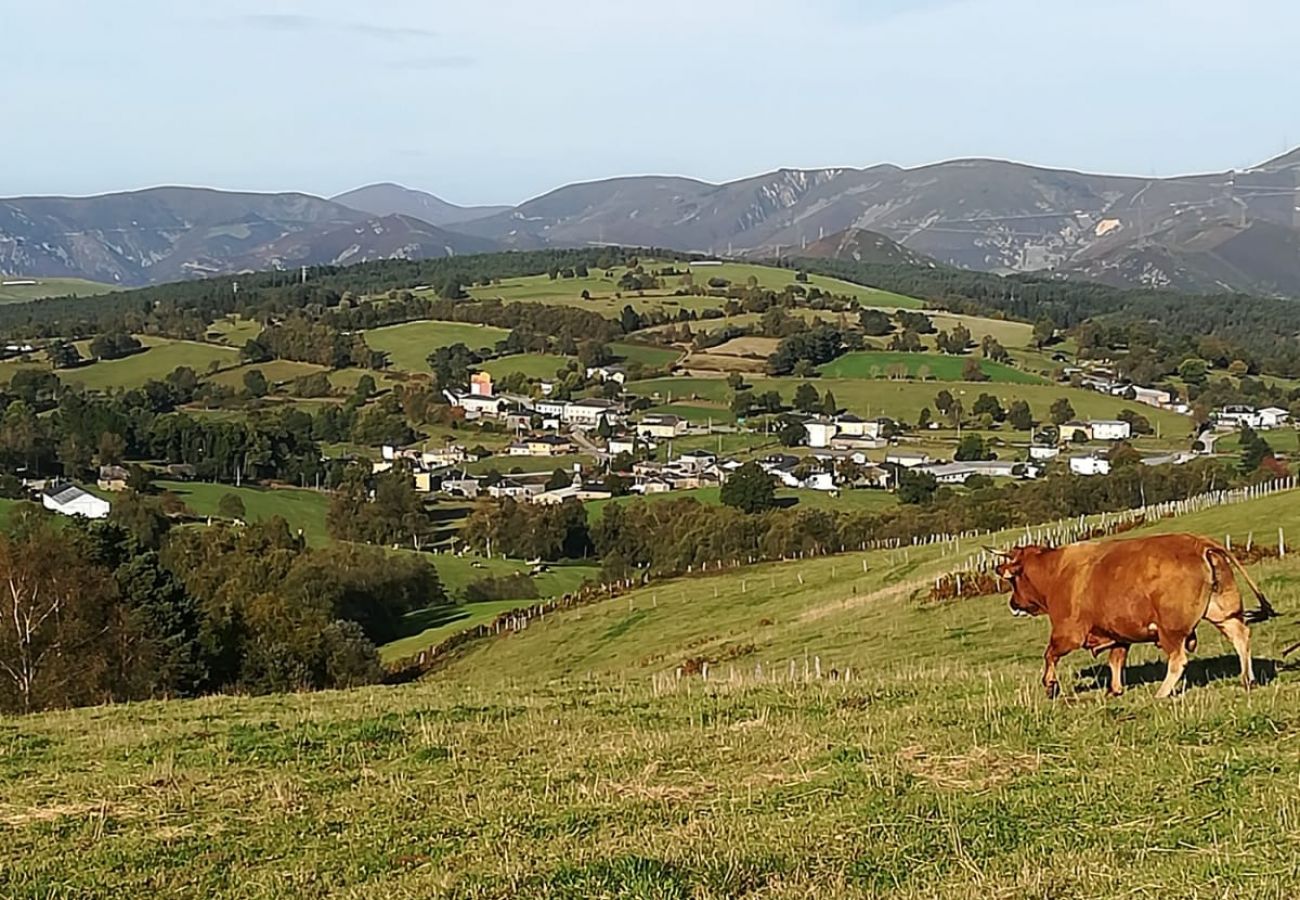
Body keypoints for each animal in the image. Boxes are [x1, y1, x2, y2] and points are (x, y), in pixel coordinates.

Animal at [987, 530, 1274, 697]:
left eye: (1013, 581)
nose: (1013, 604)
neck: (1055, 571)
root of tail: (1198, 543)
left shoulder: (1067, 632)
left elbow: (1049, 655)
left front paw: (1049, 684)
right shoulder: (1117, 632)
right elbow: (1116, 660)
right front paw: (1115, 690)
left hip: (1171, 629)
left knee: (1178, 659)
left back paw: (1162, 693)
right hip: (1222, 612)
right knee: (1241, 636)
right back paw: (1247, 679)